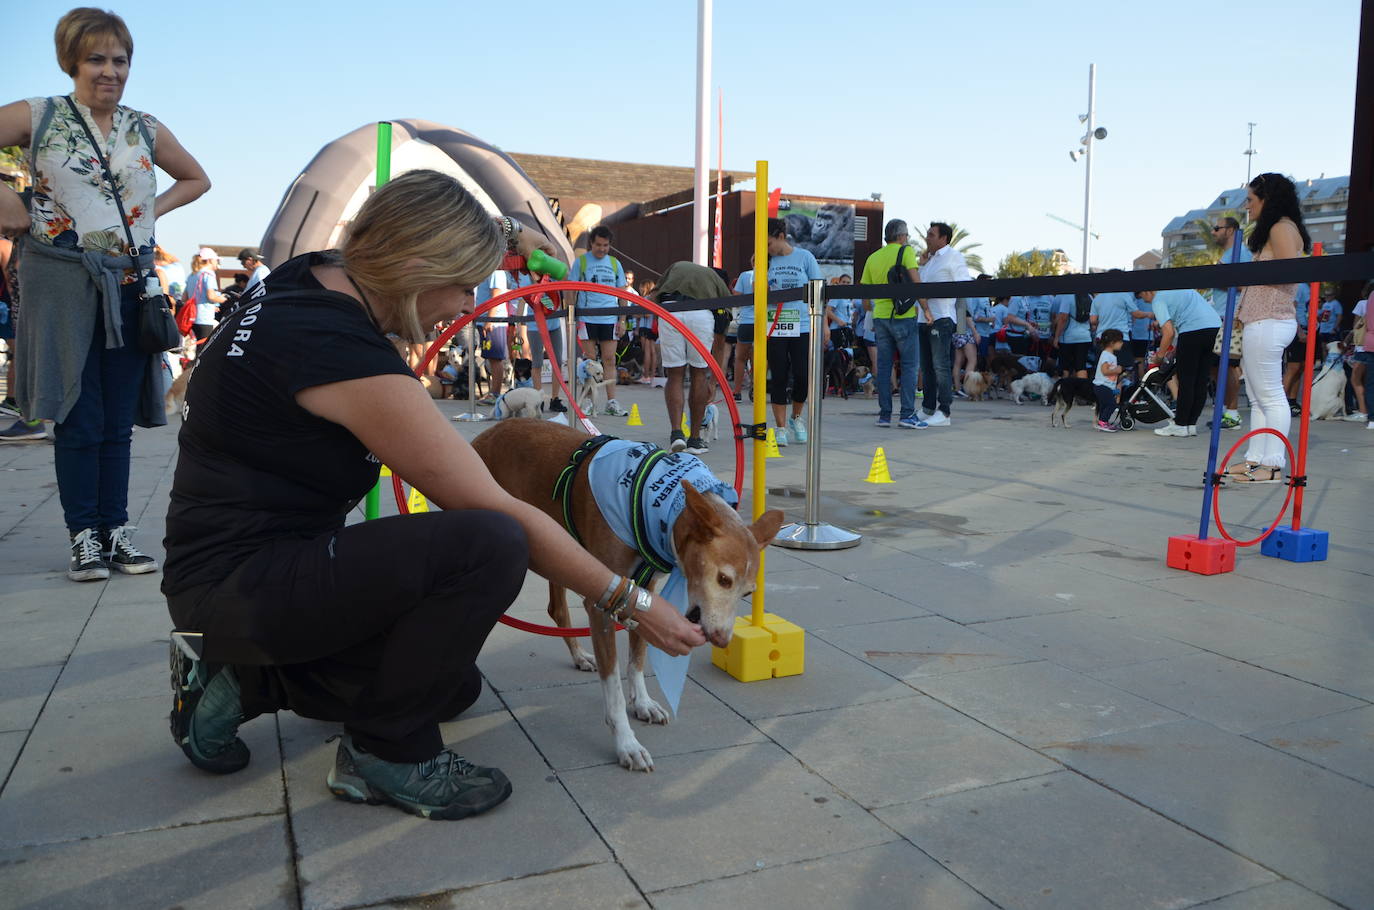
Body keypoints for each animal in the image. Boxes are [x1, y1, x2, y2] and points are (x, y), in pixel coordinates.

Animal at [475, 420, 785, 769]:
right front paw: (626, 742)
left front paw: (643, 702)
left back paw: (579, 656)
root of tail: (487, 434)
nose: (721, 639)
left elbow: (637, 658)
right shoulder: (602, 604)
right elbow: (613, 690)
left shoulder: (642, 592)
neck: (660, 507)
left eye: (749, 591)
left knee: (557, 608)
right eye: (723, 579)